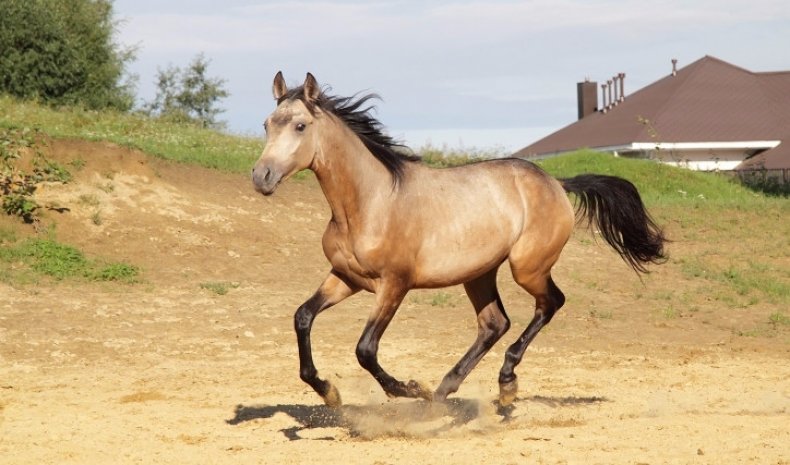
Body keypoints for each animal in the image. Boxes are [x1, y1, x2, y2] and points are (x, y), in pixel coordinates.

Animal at [254, 71, 668, 406]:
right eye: (266, 125)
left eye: (300, 126)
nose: (262, 176)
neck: (369, 203)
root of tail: (555, 183)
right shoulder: (345, 278)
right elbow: (303, 317)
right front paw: (329, 392)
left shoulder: (394, 285)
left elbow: (365, 350)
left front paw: (409, 389)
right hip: (479, 273)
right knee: (494, 323)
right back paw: (447, 390)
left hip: (527, 267)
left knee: (549, 304)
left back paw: (501, 383)